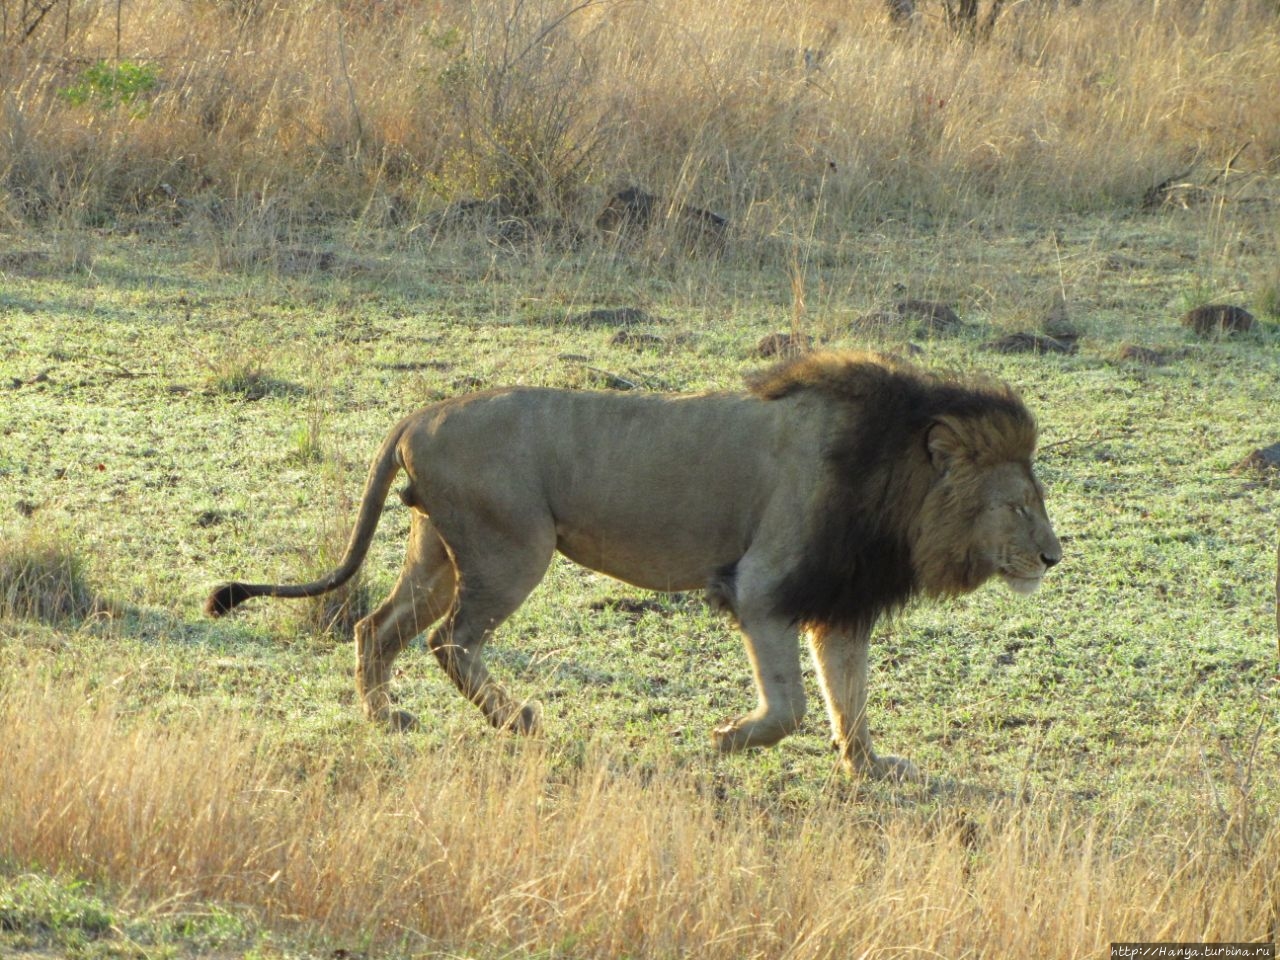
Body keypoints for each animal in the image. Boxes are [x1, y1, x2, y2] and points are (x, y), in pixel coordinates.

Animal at [204, 353, 1059, 783]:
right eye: (1020, 505)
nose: (1053, 556)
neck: (896, 483)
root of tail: (419, 414)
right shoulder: (761, 588)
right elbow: (789, 706)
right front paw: (727, 739)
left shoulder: (836, 599)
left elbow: (848, 698)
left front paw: (873, 766)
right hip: (512, 549)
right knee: (450, 641)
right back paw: (517, 719)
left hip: (436, 552)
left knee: (377, 630)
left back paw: (386, 718)